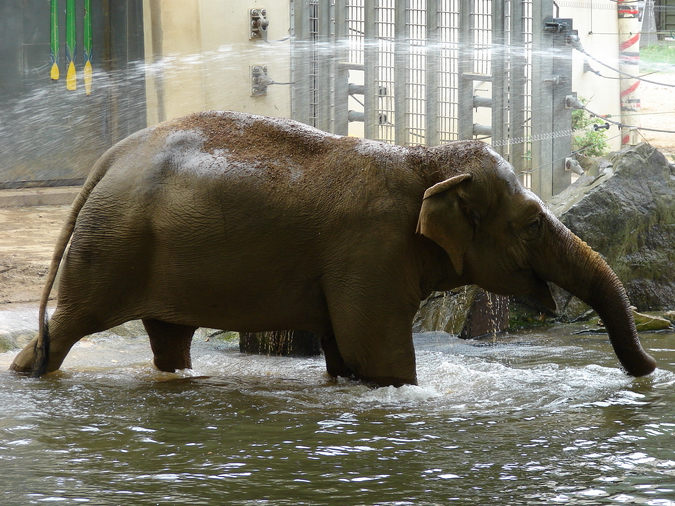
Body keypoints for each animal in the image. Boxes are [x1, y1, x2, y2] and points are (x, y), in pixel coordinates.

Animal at [10, 111, 656, 386]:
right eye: (531, 223)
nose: (649, 371)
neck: (422, 160)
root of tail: (110, 157)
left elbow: (345, 355)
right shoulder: (370, 250)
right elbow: (379, 355)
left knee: (170, 339)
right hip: (110, 248)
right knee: (66, 329)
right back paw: (30, 374)